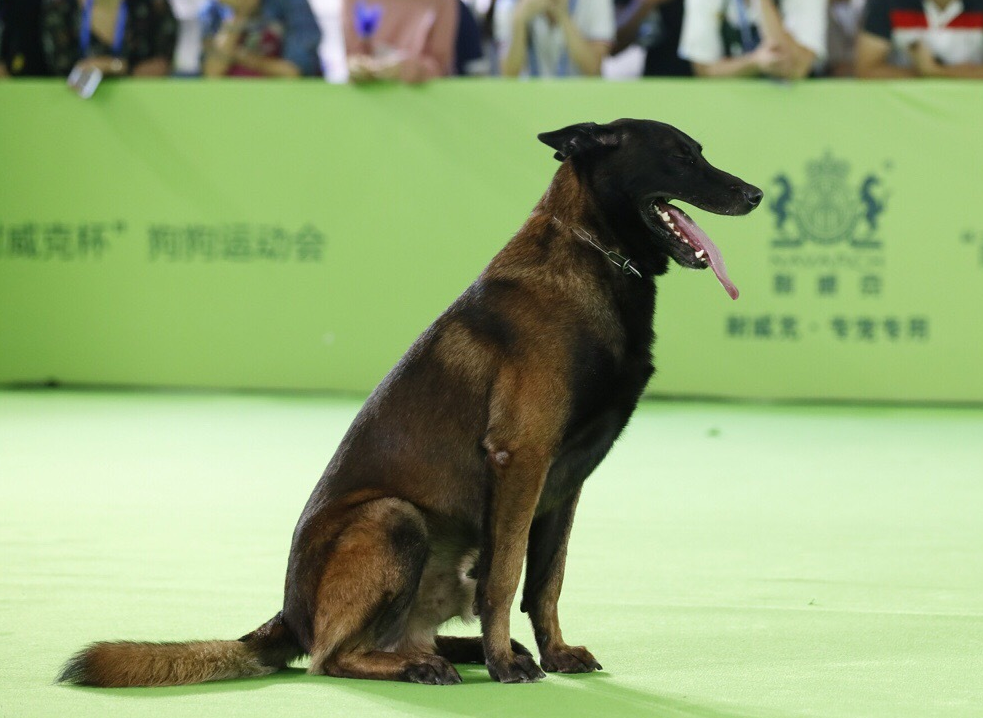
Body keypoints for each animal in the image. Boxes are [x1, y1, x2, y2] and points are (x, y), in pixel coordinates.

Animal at [57, 121, 764, 688]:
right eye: (680, 157)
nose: (756, 194)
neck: (593, 253)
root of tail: (288, 615)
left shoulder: (564, 485)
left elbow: (546, 582)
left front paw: (552, 654)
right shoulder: (521, 460)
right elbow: (508, 577)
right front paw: (506, 664)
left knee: (409, 635)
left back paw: (456, 651)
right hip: (394, 518)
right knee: (329, 658)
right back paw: (432, 664)